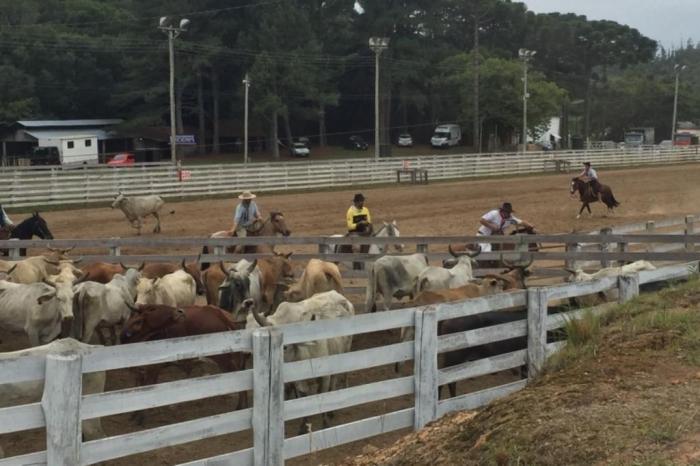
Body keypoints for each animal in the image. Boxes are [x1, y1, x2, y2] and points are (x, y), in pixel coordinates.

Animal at [120, 302, 249, 422]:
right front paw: (134, 414)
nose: (180, 311)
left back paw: (239, 407)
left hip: (225, 360)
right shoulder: (139, 372)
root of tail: (218, 313)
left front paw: (140, 417)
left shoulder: (153, 369)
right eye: (152, 309)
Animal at [246, 292, 356, 434]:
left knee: (336, 379)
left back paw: (332, 411)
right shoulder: (298, 381)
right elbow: (302, 397)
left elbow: (323, 396)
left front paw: (325, 424)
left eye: (285, 347)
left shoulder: (324, 376)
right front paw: (303, 426)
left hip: (343, 353)